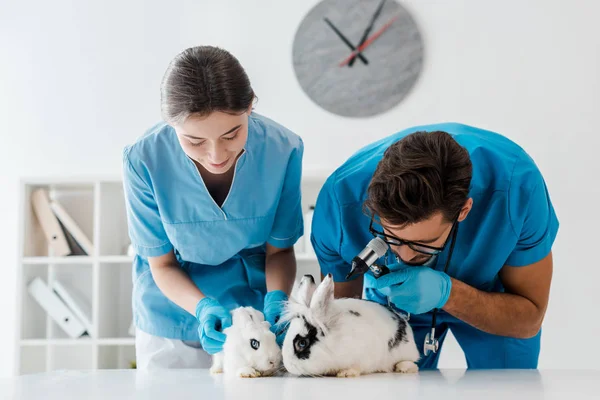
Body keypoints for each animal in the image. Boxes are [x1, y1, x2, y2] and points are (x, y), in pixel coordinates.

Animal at [280, 274, 418, 376]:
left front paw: (345, 373)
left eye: (302, 343)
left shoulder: (363, 356)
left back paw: (403, 368)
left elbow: (357, 367)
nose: (288, 366)